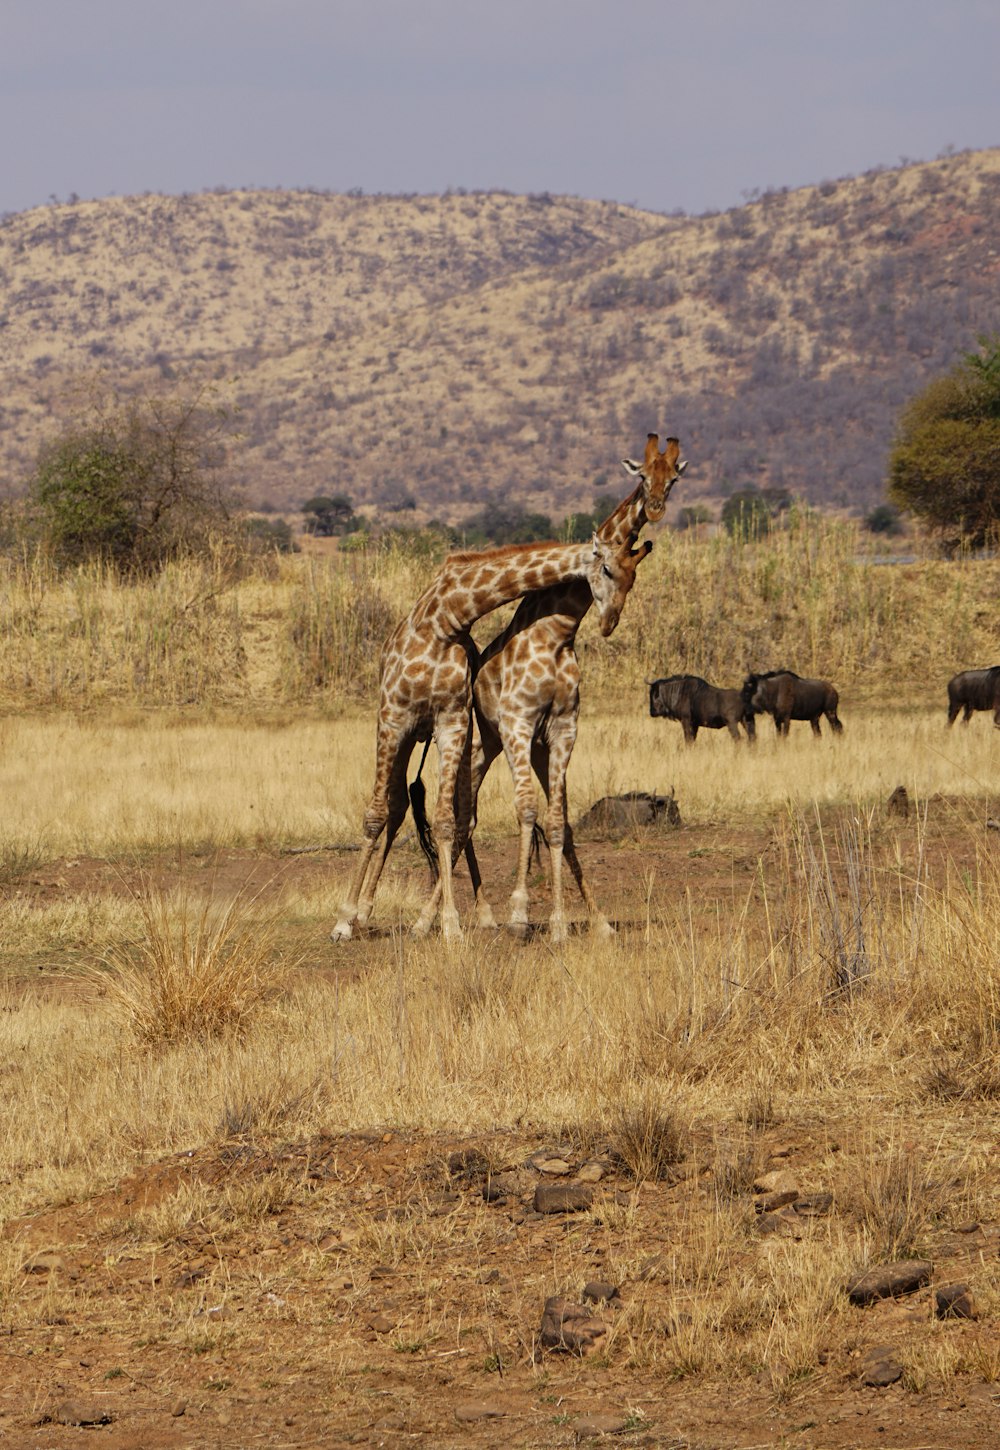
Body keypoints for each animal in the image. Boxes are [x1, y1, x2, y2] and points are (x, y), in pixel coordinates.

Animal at [414, 432, 684, 939]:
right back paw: (434, 920)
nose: (656, 506)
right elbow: (525, 810)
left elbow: (559, 823)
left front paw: (569, 922)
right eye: (642, 473)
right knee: (464, 818)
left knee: (510, 820)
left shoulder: (562, 728)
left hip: (531, 748)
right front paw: (520, 913)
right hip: (485, 743)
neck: (559, 631)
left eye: (675, 477)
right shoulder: (518, 723)